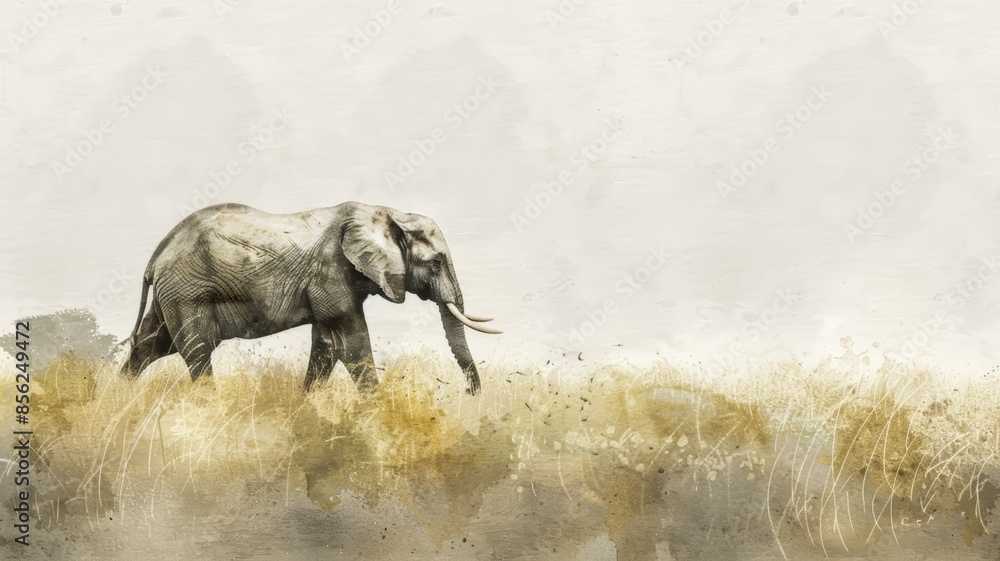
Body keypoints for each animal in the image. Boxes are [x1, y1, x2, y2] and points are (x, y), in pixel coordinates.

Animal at [118, 202, 500, 394]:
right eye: (436, 263)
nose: (467, 395)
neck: (387, 213)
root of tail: (157, 255)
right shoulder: (330, 272)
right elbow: (351, 343)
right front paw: (375, 409)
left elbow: (328, 345)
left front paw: (306, 405)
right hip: (188, 291)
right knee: (196, 349)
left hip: (174, 291)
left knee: (153, 343)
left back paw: (119, 393)